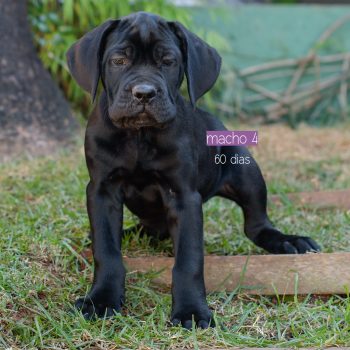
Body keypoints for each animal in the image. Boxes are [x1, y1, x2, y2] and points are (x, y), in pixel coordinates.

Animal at [65, 11, 320, 328]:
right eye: (118, 60)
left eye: (168, 61)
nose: (144, 93)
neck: (139, 136)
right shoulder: (102, 190)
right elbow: (106, 250)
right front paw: (101, 299)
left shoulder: (183, 195)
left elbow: (189, 259)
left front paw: (191, 310)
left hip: (247, 170)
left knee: (256, 224)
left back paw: (288, 241)